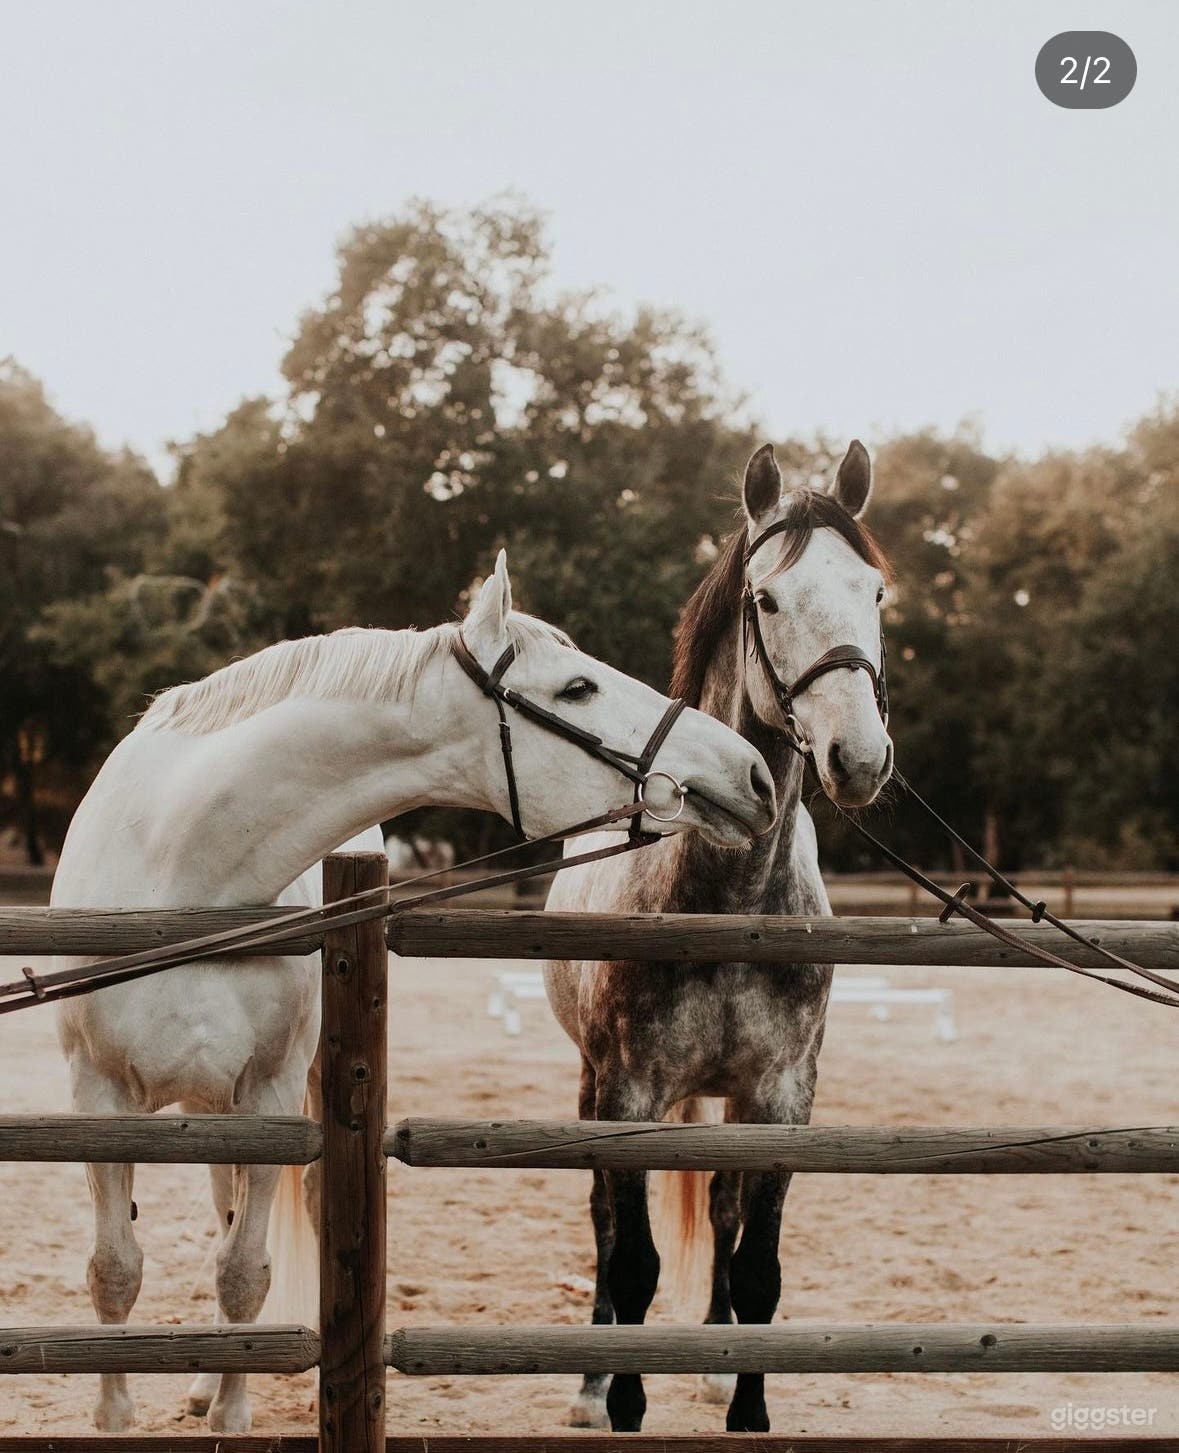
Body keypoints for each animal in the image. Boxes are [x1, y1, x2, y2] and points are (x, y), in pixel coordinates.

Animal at [51, 549, 776, 1435]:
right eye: (577, 687)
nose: (750, 772)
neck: (182, 867)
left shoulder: (267, 1094)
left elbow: (243, 1270)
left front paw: (231, 1412)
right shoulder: (99, 1096)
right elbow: (114, 1267)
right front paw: (116, 1411)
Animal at [544, 442, 894, 1433]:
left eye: (875, 591)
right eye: (766, 599)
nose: (860, 759)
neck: (731, 900)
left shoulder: (779, 1100)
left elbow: (756, 1262)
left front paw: (745, 1405)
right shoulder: (626, 1093)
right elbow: (630, 1256)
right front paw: (620, 1396)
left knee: (725, 1216)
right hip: (594, 1081)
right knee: (602, 1219)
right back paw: (590, 1384)